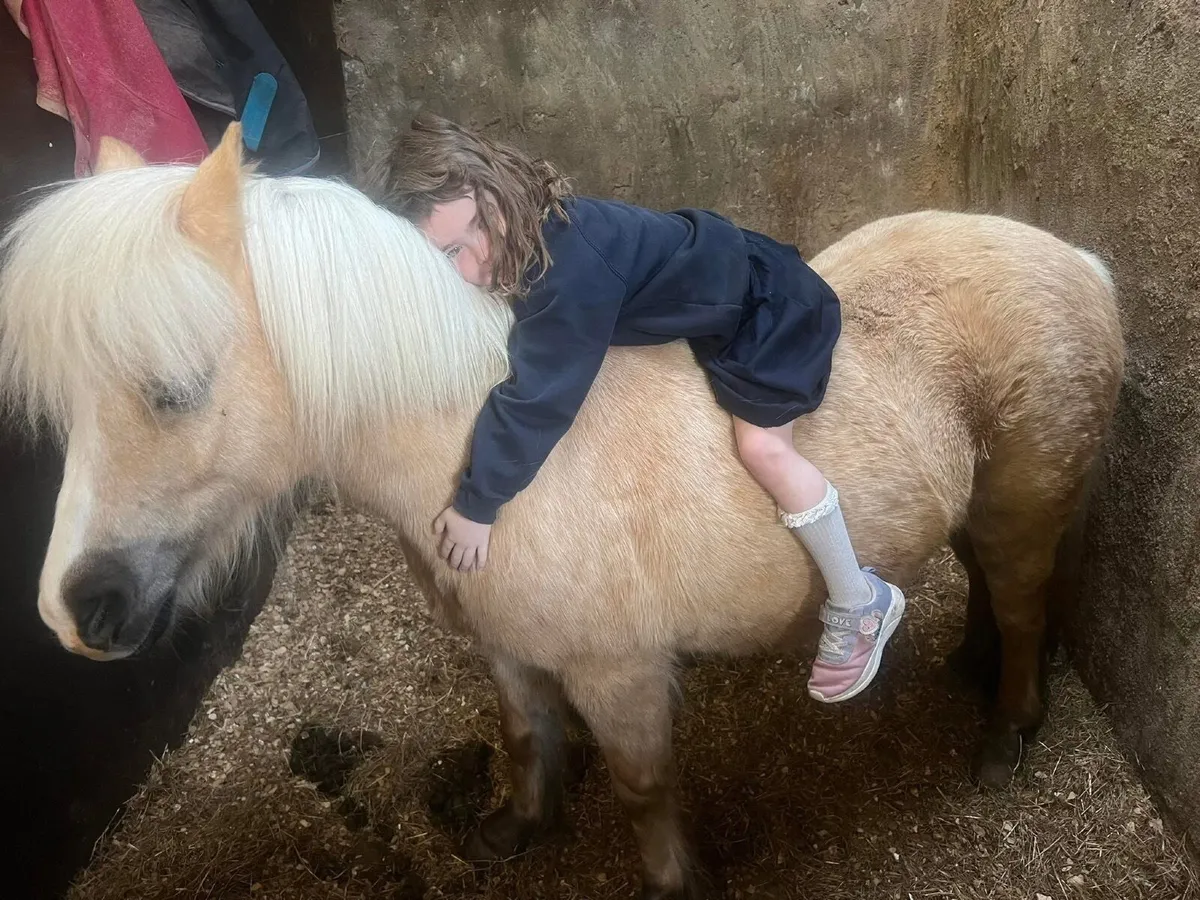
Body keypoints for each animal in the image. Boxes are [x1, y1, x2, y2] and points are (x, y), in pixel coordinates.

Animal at [0, 124, 1124, 899]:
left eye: (175, 389)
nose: (77, 609)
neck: (491, 473)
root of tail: (1081, 262)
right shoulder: (504, 647)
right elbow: (523, 732)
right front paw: (512, 830)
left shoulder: (618, 674)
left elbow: (639, 786)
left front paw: (673, 880)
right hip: (987, 507)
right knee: (985, 588)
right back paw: (967, 668)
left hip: (1026, 506)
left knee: (1024, 608)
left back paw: (1002, 733)